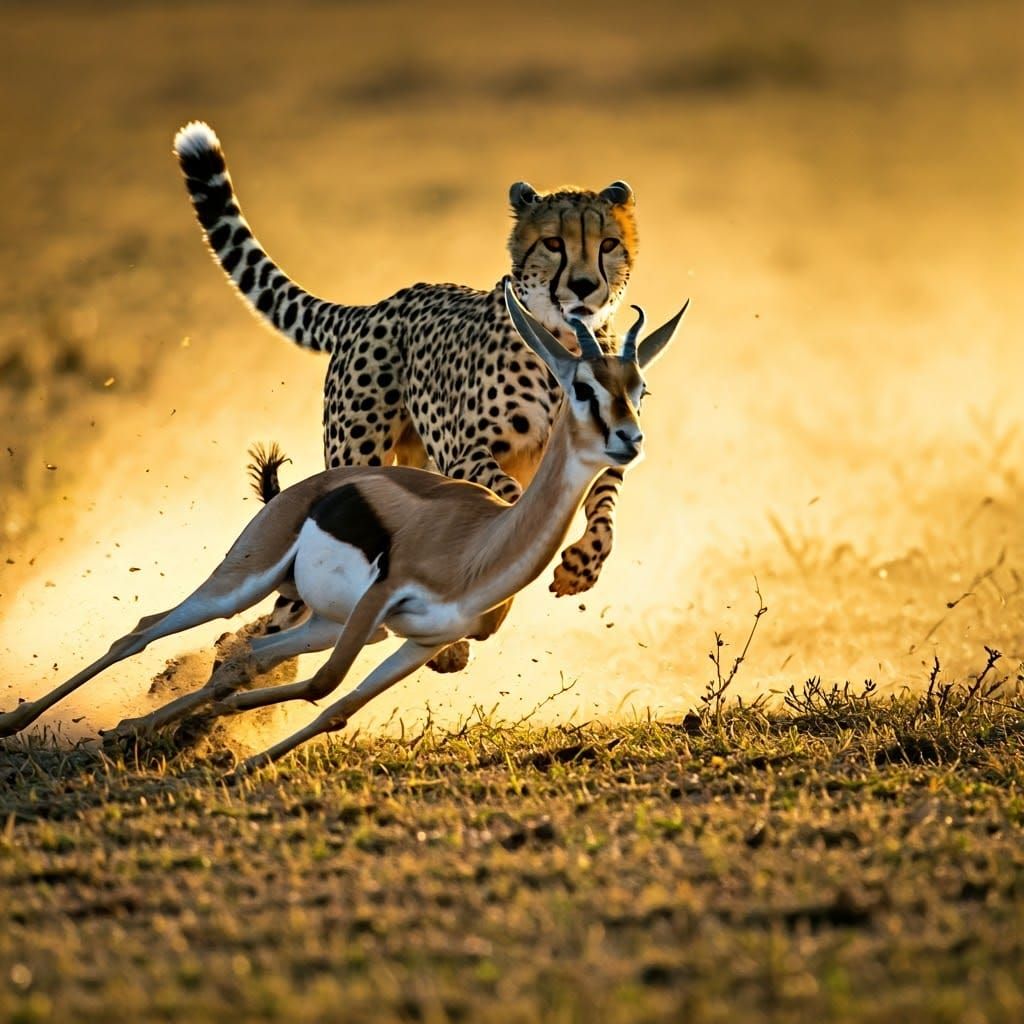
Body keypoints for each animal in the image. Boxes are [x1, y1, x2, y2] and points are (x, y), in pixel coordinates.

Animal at [0, 283, 688, 773]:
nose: (629, 440)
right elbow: (324, 684)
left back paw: (135, 732)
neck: (482, 545)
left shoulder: (420, 640)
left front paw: (238, 765)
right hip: (248, 580)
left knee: (245, 655)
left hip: (328, 622)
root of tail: (305, 487)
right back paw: (27, 724)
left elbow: (337, 704)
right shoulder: (383, 601)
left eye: (640, 391)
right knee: (145, 630)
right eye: (583, 388)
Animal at [174, 121, 639, 670]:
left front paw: (581, 564)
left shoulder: (607, 448)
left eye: (608, 243)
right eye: (552, 242)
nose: (586, 286)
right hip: (356, 460)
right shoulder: (468, 453)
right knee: (287, 606)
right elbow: (506, 497)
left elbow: (604, 511)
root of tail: (375, 305)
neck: (564, 341)